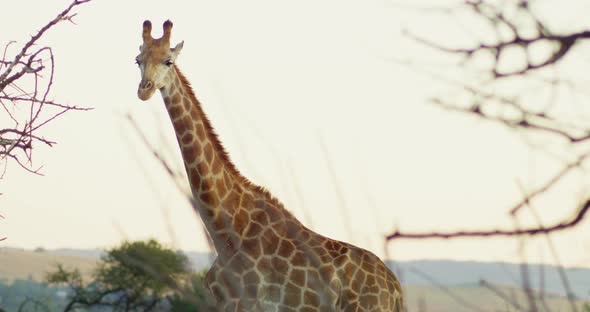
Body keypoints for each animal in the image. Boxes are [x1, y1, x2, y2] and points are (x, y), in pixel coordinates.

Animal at [135, 20, 404, 312]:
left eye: (168, 61)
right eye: (138, 60)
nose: (144, 89)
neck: (225, 231)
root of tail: (395, 288)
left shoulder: (246, 304)